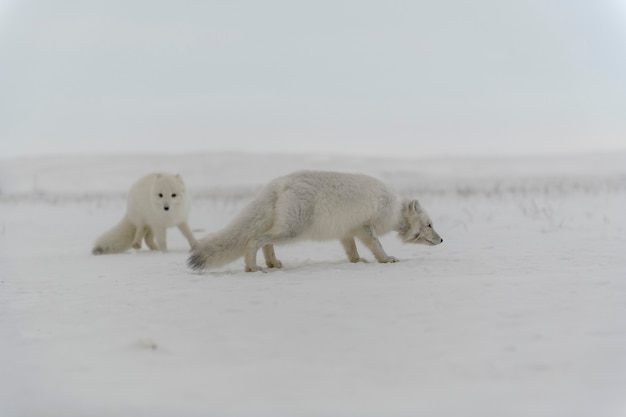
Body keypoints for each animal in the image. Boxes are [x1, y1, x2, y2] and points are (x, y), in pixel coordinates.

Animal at [188, 170, 442, 272]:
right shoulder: (364, 225)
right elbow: (376, 245)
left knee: (266, 242)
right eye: (430, 225)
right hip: (293, 229)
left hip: (286, 226)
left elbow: (351, 249)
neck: (393, 209)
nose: (441, 240)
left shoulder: (347, 230)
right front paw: (386, 259)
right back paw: (253, 267)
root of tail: (280, 182)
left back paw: (273, 263)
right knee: (255, 240)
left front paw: (357, 261)